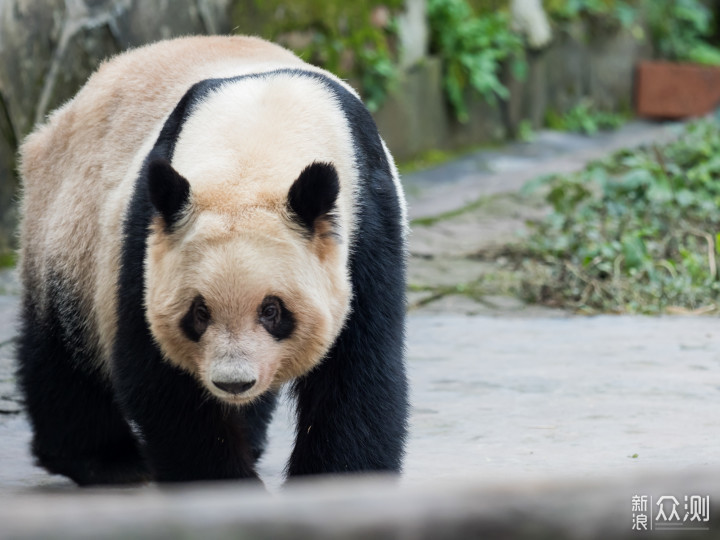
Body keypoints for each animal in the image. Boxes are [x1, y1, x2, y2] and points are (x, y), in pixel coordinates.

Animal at [16, 35, 408, 488]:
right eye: (198, 312)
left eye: (272, 310)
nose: (233, 382)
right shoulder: (146, 235)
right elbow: (161, 379)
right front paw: (223, 485)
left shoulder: (367, 222)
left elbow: (356, 371)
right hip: (73, 227)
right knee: (63, 351)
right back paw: (105, 459)